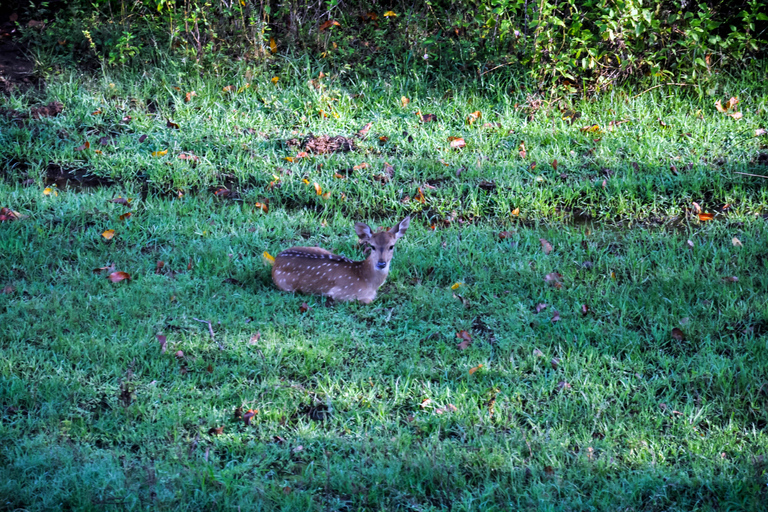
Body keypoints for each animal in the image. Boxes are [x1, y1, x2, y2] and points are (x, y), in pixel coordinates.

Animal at [272, 217, 412, 304]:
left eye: (391, 246)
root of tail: (276, 260)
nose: (381, 263)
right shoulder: (340, 293)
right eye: (372, 246)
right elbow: (369, 301)